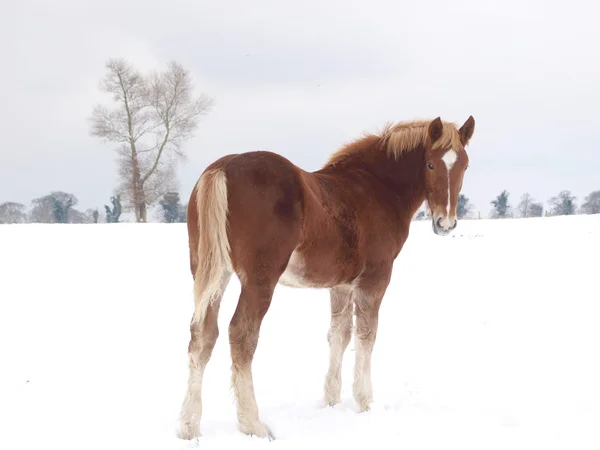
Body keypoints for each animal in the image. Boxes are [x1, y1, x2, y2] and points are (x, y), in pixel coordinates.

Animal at [176, 116, 476, 440]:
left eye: (465, 165)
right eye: (431, 164)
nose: (445, 224)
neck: (376, 188)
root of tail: (223, 168)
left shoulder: (341, 285)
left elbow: (338, 335)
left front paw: (331, 398)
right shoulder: (374, 280)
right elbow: (366, 335)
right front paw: (365, 401)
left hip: (213, 274)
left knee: (202, 336)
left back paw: (189, 426)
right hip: (258, 281)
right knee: (241, 336)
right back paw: (252, 424)